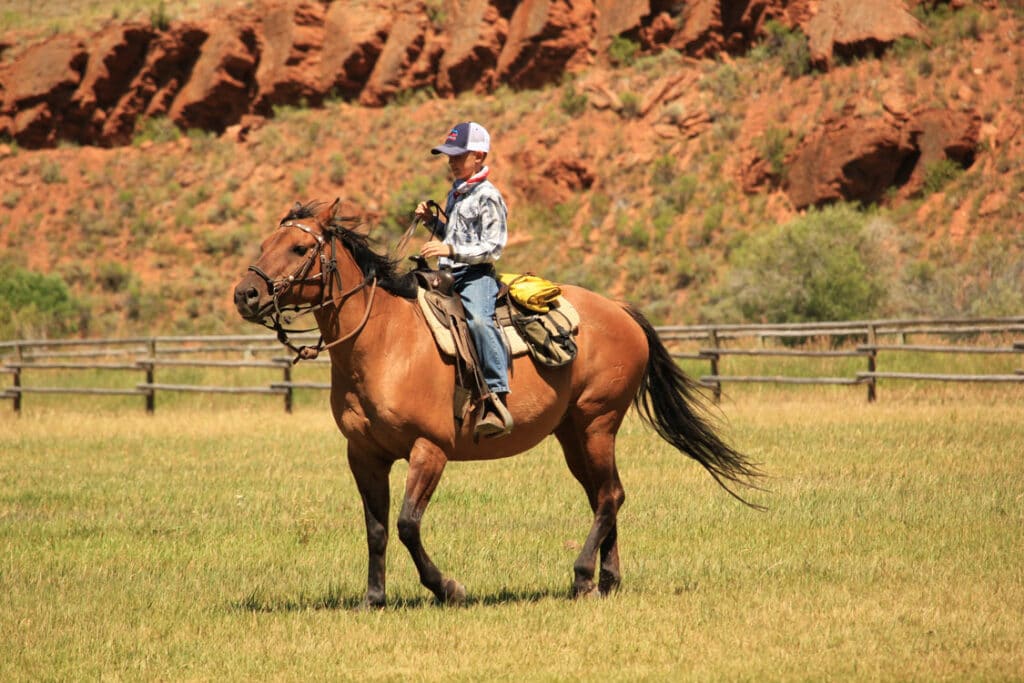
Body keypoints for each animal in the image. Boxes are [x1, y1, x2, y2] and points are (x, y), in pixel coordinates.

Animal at [232, 200, 761, 606]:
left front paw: (448, 588)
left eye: (300, 248)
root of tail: (620, 310)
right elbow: (376, 529)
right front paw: (374, 599)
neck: (385, 341)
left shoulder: (430, 449)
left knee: (609, 496)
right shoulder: (363, 455)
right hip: (572, 434)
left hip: (598, 422)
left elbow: (406, 524)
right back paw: (607, 581)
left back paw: (582, 578)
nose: (245, 293)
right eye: (263, 245)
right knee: (604, 496)